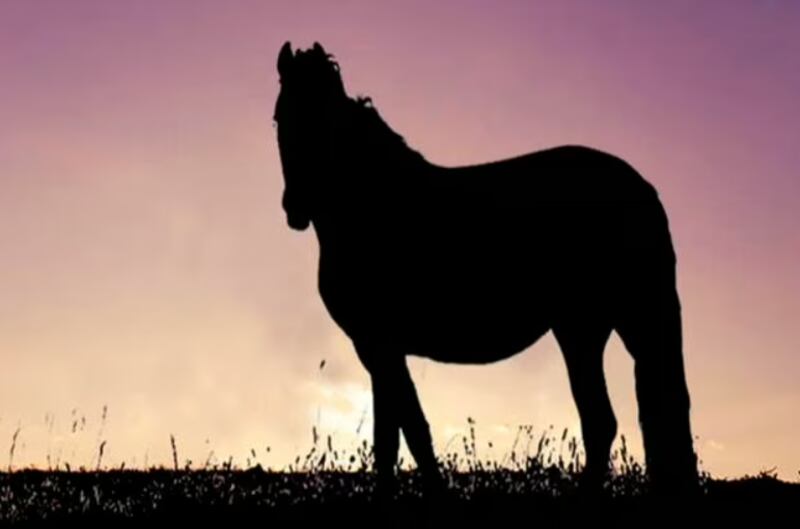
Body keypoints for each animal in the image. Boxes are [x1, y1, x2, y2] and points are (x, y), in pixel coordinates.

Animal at [273, 41, 698, 495]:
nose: (296, 207)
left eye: (329, 122)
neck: (376, 205)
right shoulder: (377, 346)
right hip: (588, 329)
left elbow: (406, 432)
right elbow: (396, 436)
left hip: (614, 322)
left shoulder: (379, 343)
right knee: (610, 419)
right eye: (280, 117)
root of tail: (642, 188)